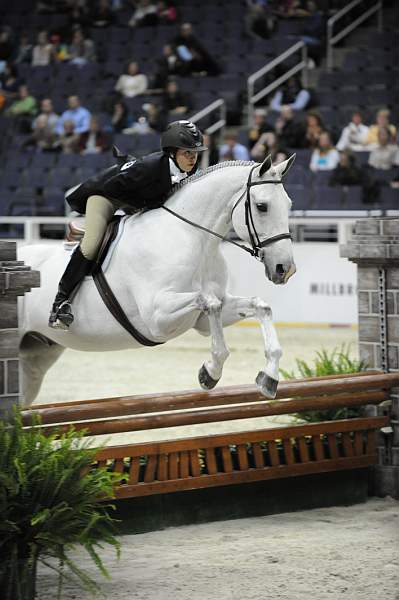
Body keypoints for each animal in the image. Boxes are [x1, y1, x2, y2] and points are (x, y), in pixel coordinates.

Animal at [18, 156, 296, 408]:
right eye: (262, 206)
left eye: (289, 204)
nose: (285, 269)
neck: (195, 239)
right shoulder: (157, 319)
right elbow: (210, 303)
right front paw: (210, 371)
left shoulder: (202, 320)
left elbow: (259, 306)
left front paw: (269, 377)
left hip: (37, 356)